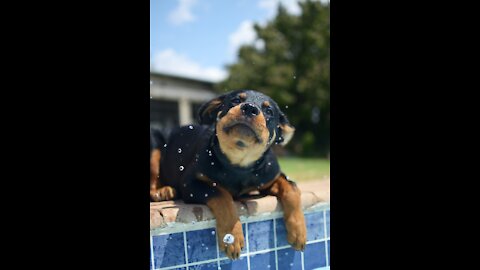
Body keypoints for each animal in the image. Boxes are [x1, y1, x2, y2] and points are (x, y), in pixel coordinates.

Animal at [152, 90, 306, 260]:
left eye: (269, 111)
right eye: (236, 100)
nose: (250, 108)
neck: (238, 164)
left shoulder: (271, 176)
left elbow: (291, 188)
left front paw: (298, 231)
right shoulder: (190, 183)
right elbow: (222, 195)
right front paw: (231, 236)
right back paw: (162, 191)